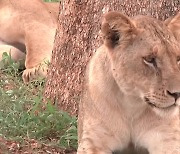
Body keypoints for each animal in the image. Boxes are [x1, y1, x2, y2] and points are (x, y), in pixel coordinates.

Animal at [78, 11, 180, 153]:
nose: (178, 94)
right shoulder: (94, 139)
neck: (131, 103)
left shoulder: (168, 139)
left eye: (178, 59)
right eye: (149, 59)